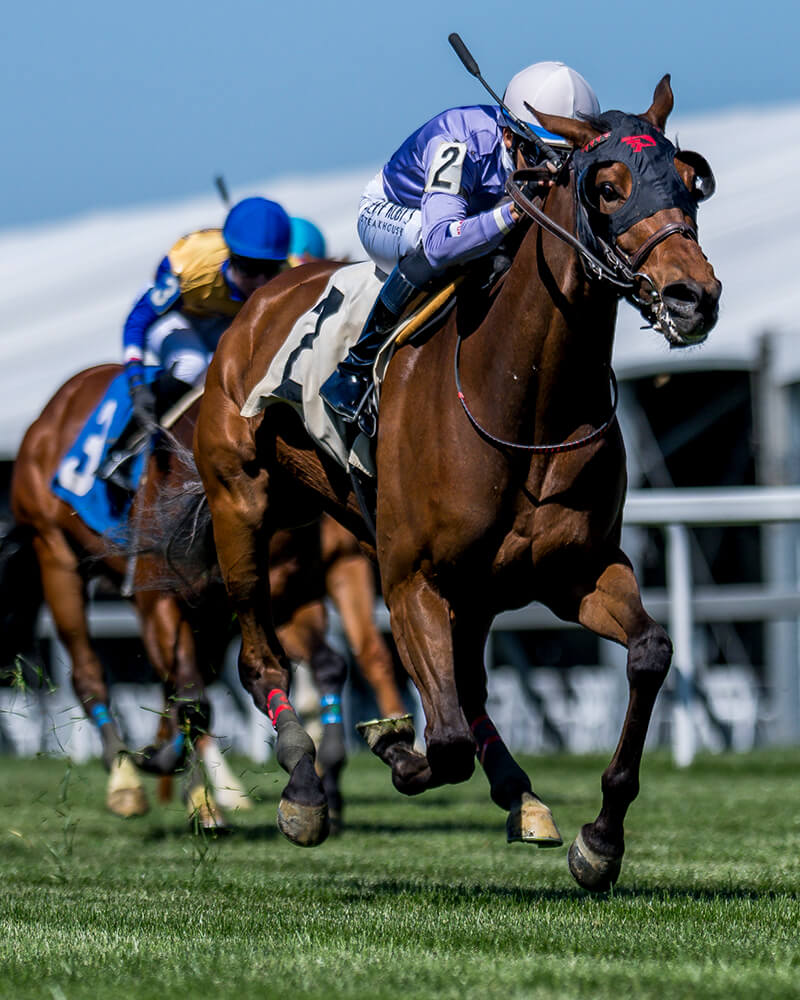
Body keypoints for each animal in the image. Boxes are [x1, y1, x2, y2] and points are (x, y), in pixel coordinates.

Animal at [6, 364, 405, 830]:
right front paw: (200, 799)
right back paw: (127, 783)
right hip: (54, 554)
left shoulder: (285, 593)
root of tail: (55, 406)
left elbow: (325, 665)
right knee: (90, 672)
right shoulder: (161, 597)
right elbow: (191, 697)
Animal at [191, 76, 721, 886]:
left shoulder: (577, 569)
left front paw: (600, 839)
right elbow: (440, 743)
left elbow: (650, 652)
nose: (696, 296)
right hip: (243, 508)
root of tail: (257, 303)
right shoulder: (411, 577)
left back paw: (519, 795)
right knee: (259, 655)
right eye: (607, 187)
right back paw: (305, 786)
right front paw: (390, 746)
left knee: (468, 687)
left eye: (690, 183)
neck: (523, 398)